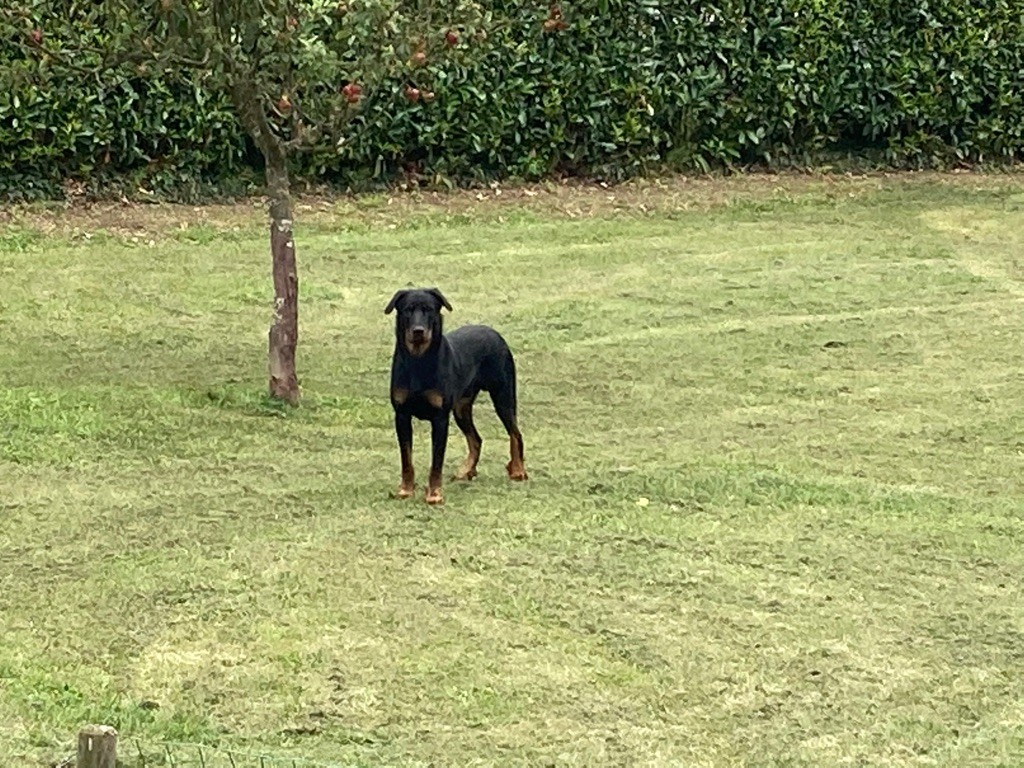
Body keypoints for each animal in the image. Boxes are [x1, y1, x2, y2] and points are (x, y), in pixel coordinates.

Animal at [385, 288, 528, 505]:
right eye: (408, 310)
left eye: (429, 310)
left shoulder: (440, 418)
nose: (418, 330)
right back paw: (466, 470)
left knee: (515, 433)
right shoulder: (402, 415)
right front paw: (406, 490)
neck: (418, 360)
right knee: (476, 439)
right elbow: (406, 459)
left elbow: (436, 462)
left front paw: (435, 494)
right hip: (461, 408)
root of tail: (495, 334)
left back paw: (518, 470)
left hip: (503, 396)